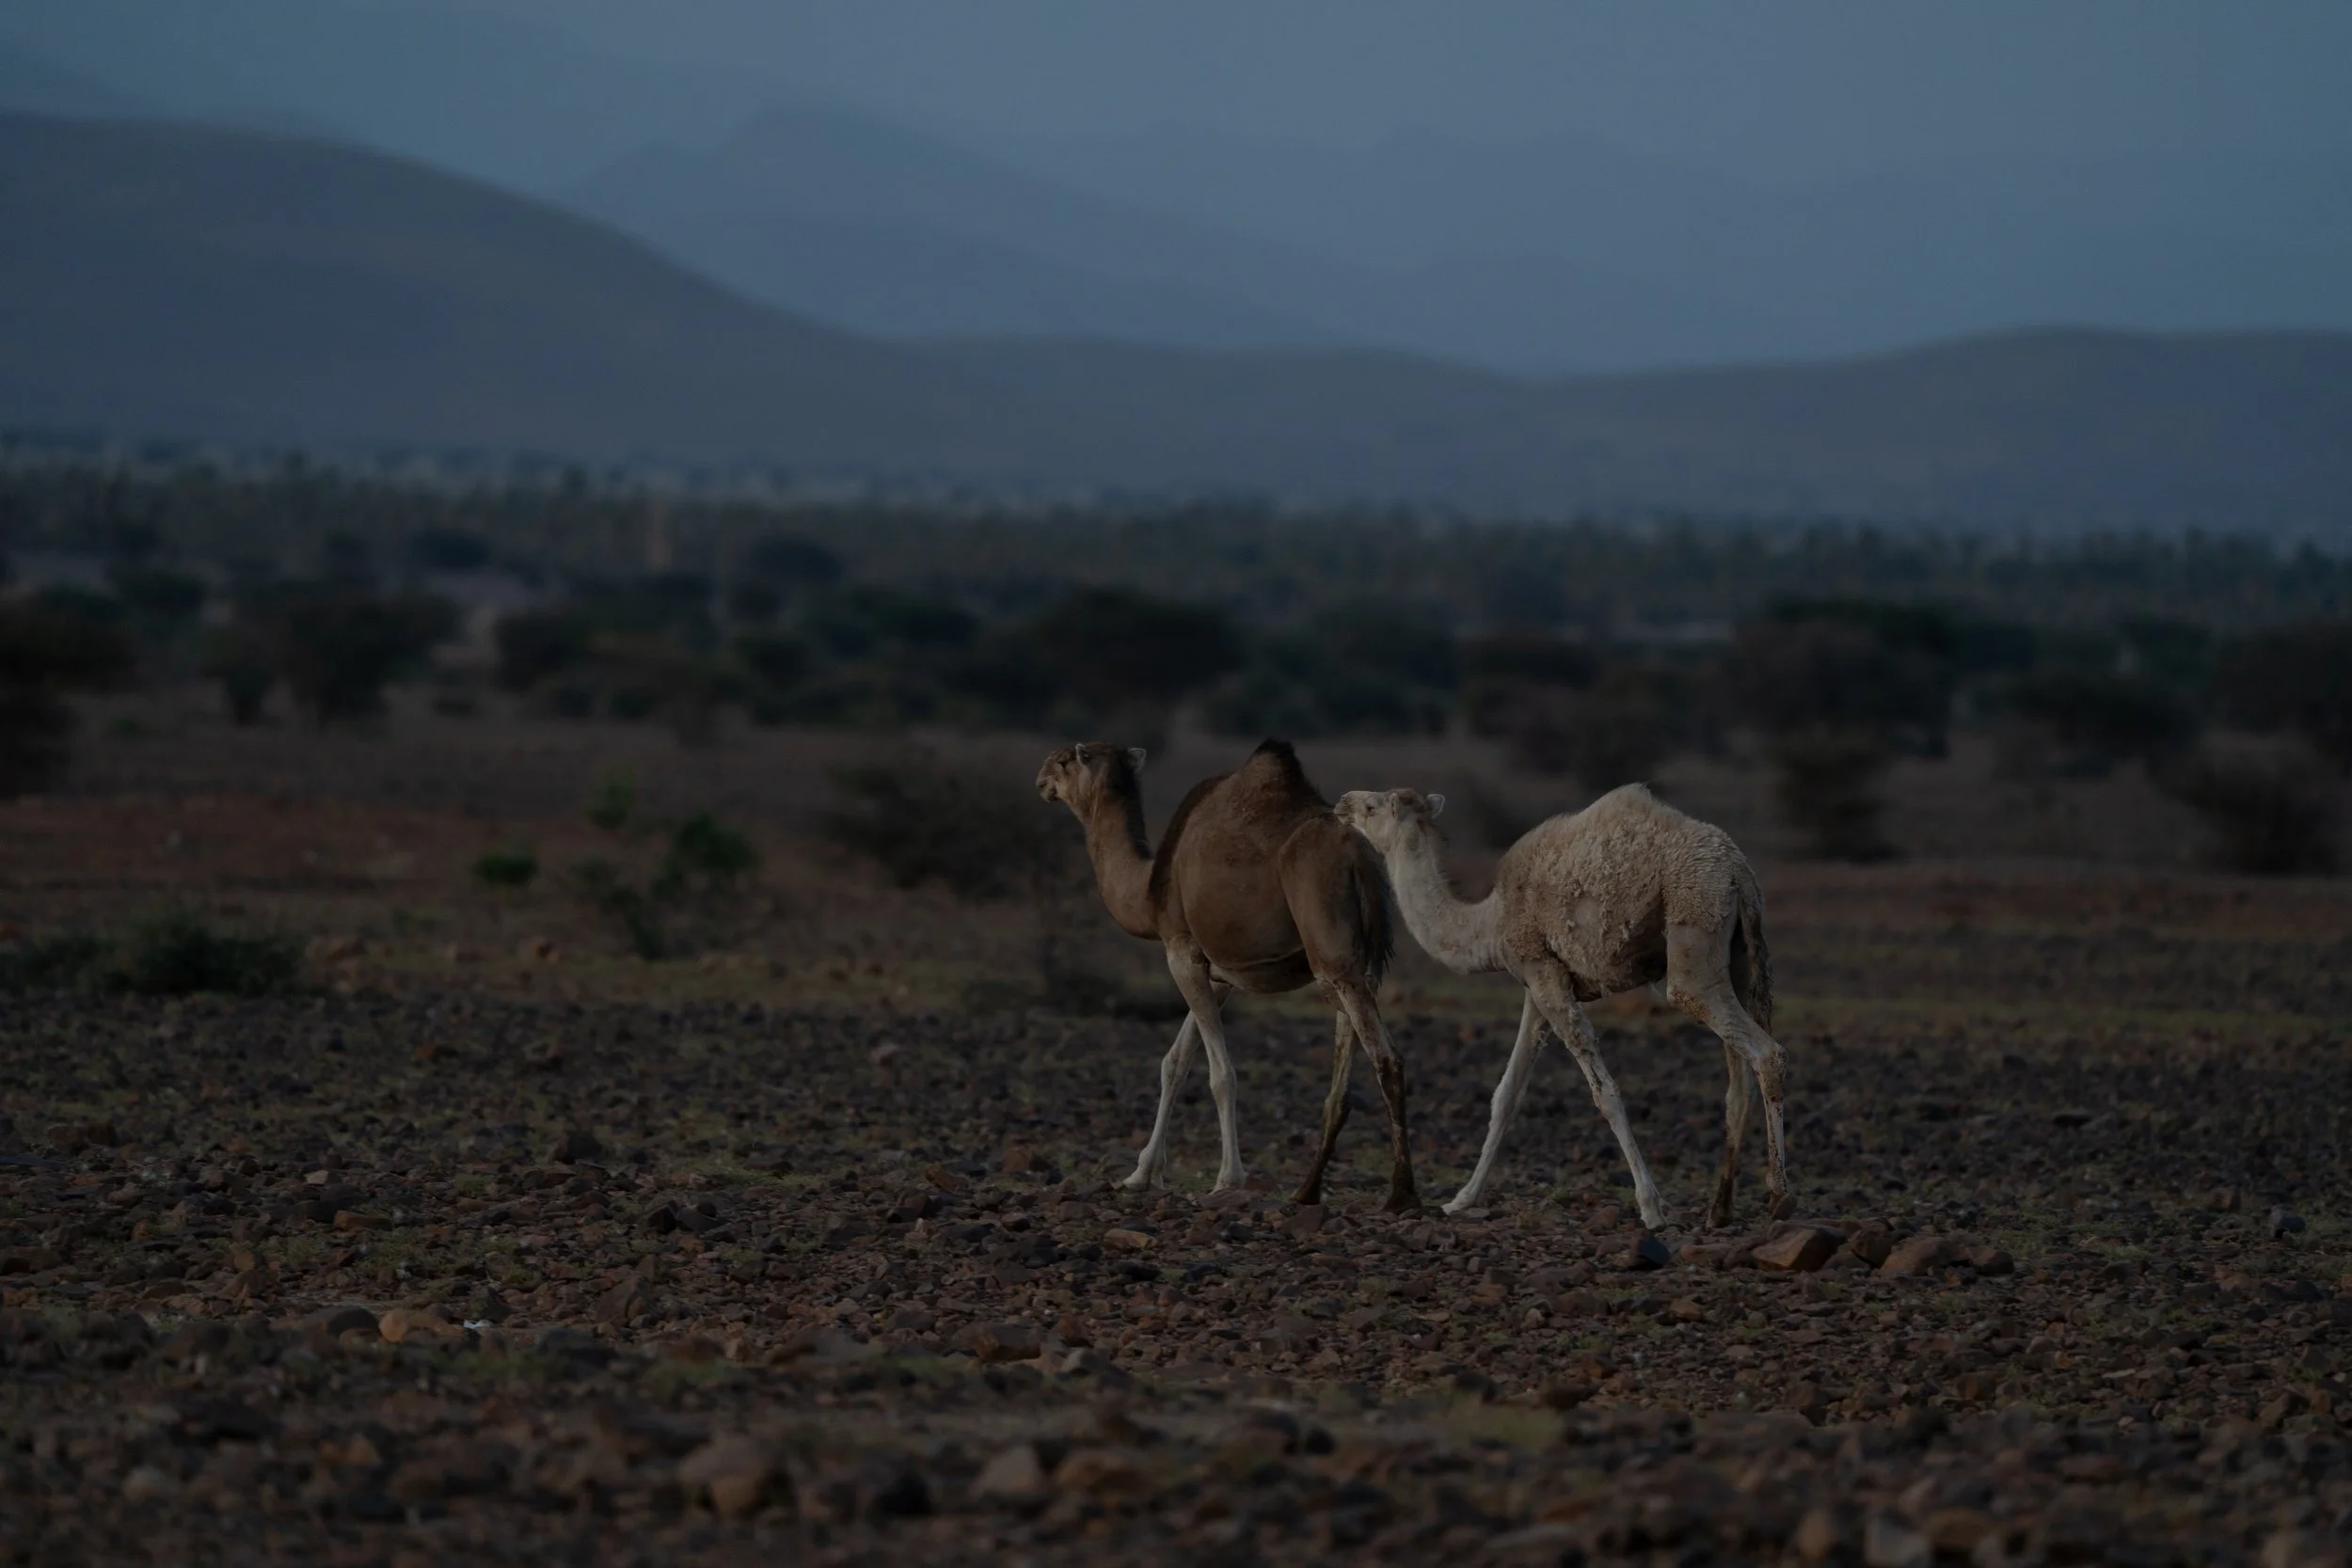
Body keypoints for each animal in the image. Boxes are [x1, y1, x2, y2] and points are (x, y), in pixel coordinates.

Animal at [1036, 739, 1422, 1211]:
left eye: (1065, 760)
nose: (1041, 779)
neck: (1150, 888)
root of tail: (1360, 859)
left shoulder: (1180, 949)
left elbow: (1220, 1074)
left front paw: (1228, 1179)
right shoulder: (1218, 973)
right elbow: (1175, 1062)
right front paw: (1140, 1175)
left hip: (1333, 953)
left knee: (1387, 1058)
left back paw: (1400, 1193)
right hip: (1353, 960)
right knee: (1347, 1069)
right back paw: (1307, 1190)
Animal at [1334, 783, 1789, 1231]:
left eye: (1372, 806)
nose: (1342, 804)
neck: (1489, 924)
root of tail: (1739, 872)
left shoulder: (1542, 972)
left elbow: (1605, 1094)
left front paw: (1651, 1209)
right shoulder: (1539, 983)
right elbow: (1507, 1093)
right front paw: (1461, 1200)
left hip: (1694, 935)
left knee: (1763, 1050)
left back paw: (1779, 1198)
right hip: (1736, 958)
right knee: (1738, 1081)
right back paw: (1720, 1210)